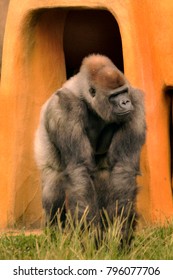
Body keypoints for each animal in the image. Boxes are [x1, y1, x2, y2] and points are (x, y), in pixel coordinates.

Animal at [34, 54, 145, 243]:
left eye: (124, 92)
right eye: (114, 95)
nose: (125, 102)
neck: (87, 99)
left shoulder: (135, 103)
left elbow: (122, 167)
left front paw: (119, 231)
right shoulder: (65, 108)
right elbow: (79, 168)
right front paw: (90, 236)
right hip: (42, 142)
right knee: (54, 178)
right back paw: (54, 233)